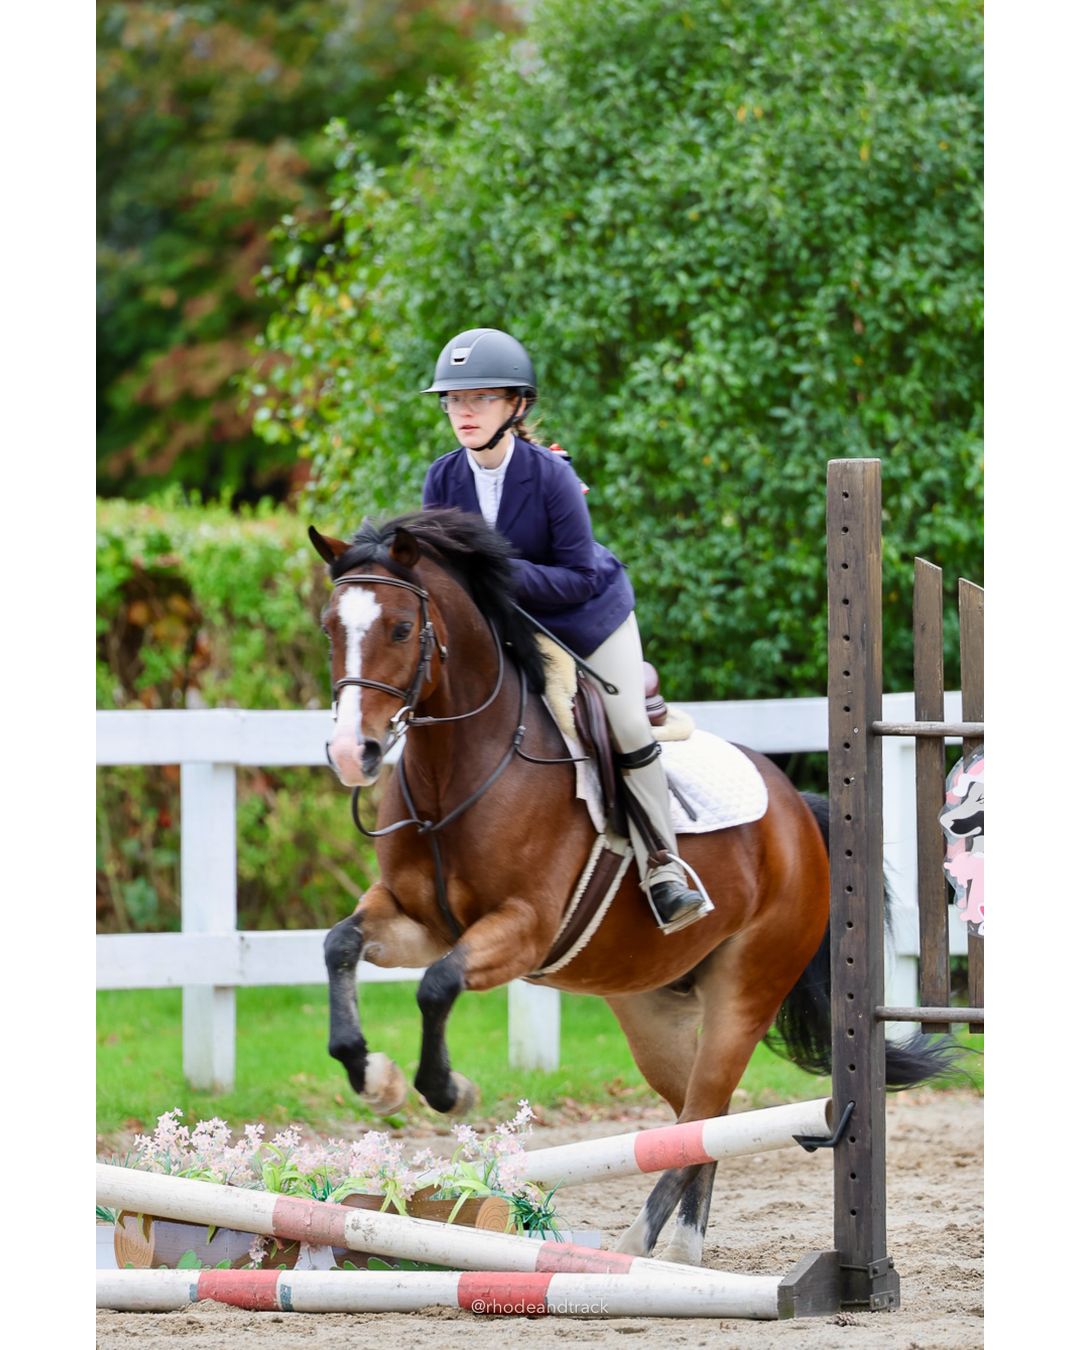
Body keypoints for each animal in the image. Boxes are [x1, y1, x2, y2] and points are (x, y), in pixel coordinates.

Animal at [309, 506, 948, 1265]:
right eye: (329, 628)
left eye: (402, 629)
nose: (353, 754)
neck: (455, 769)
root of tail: (798, 808)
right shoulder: (415, 919)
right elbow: (340, 944)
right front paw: (370, 1076)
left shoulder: (523, 929)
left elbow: (436, 985)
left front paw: (448, 1090)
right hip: (653, 1008)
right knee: (694, 1119)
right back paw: (676, 1254)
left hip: (745, 989)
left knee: (706, 1111)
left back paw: (644, 1247)